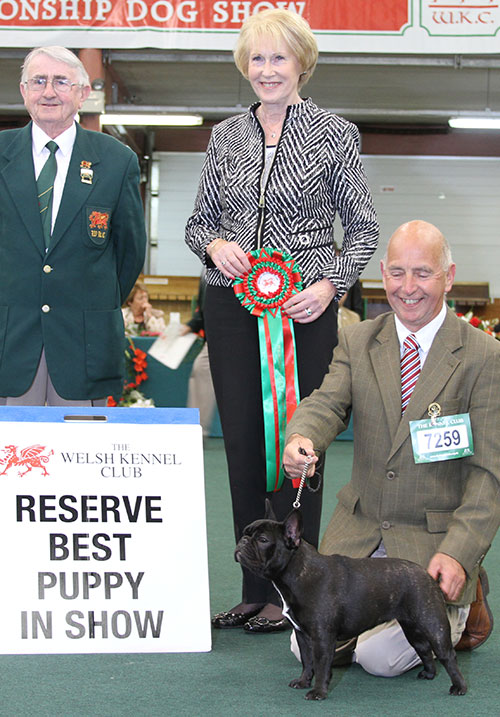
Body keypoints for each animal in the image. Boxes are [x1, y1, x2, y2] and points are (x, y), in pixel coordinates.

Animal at [236, 500, 466, 696]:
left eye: (263, 540)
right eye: (246, 532)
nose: (242, 541)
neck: (296, 572)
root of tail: (427, 574)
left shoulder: (322, 638)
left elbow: (321, 665)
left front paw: (318, 692)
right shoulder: (303, 635)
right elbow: (307, 662)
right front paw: (303, 682)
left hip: (433, 624)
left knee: (447, 654)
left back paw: (459, 687)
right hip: (412, 628)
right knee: (424, 649)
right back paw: (429, 674)